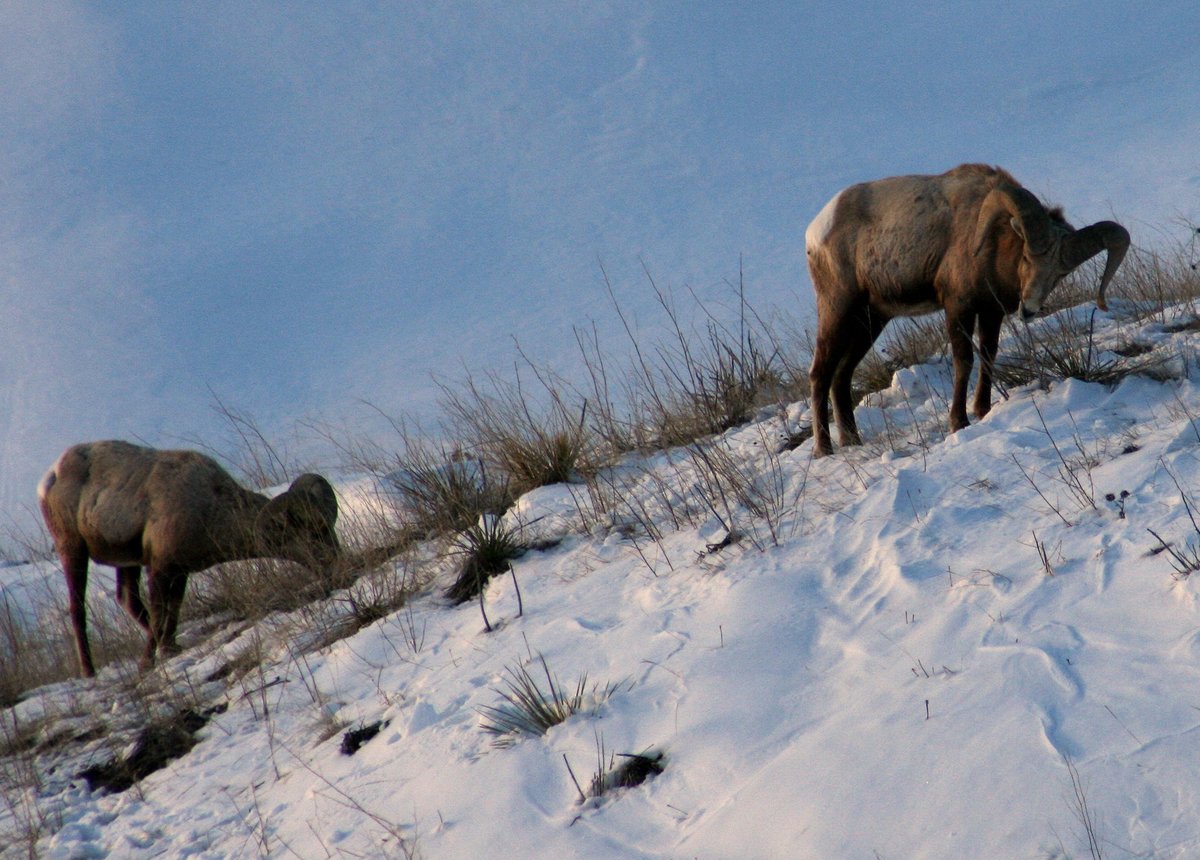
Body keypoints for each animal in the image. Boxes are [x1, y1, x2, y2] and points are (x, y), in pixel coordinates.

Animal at [39, 443, 340, 676]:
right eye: (312, 534)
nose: (338, 564)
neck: (211, 507)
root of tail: (49, 477)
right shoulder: (160, 569)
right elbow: (160, 611)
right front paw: (150, 661)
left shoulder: (179, 572)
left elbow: (172, 610)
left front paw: (170, 648)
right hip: (73, 551)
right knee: (78, 609)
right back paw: (89, 672)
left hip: (127, 562)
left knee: (128, 600)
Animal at [801, 161, 1128, 455]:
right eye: (1026, 257)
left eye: (1060, 273)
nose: (1030, 309)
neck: (991, 244)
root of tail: (816, 230)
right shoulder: (958, 307)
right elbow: (964, 361)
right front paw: (958, 422)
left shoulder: (991, 312)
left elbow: (988, 356)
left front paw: (982, 410)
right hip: (839, 309)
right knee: (820, 374)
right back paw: (823, 450)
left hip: (871, 321)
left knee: (841, 376)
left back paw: (851, 442)